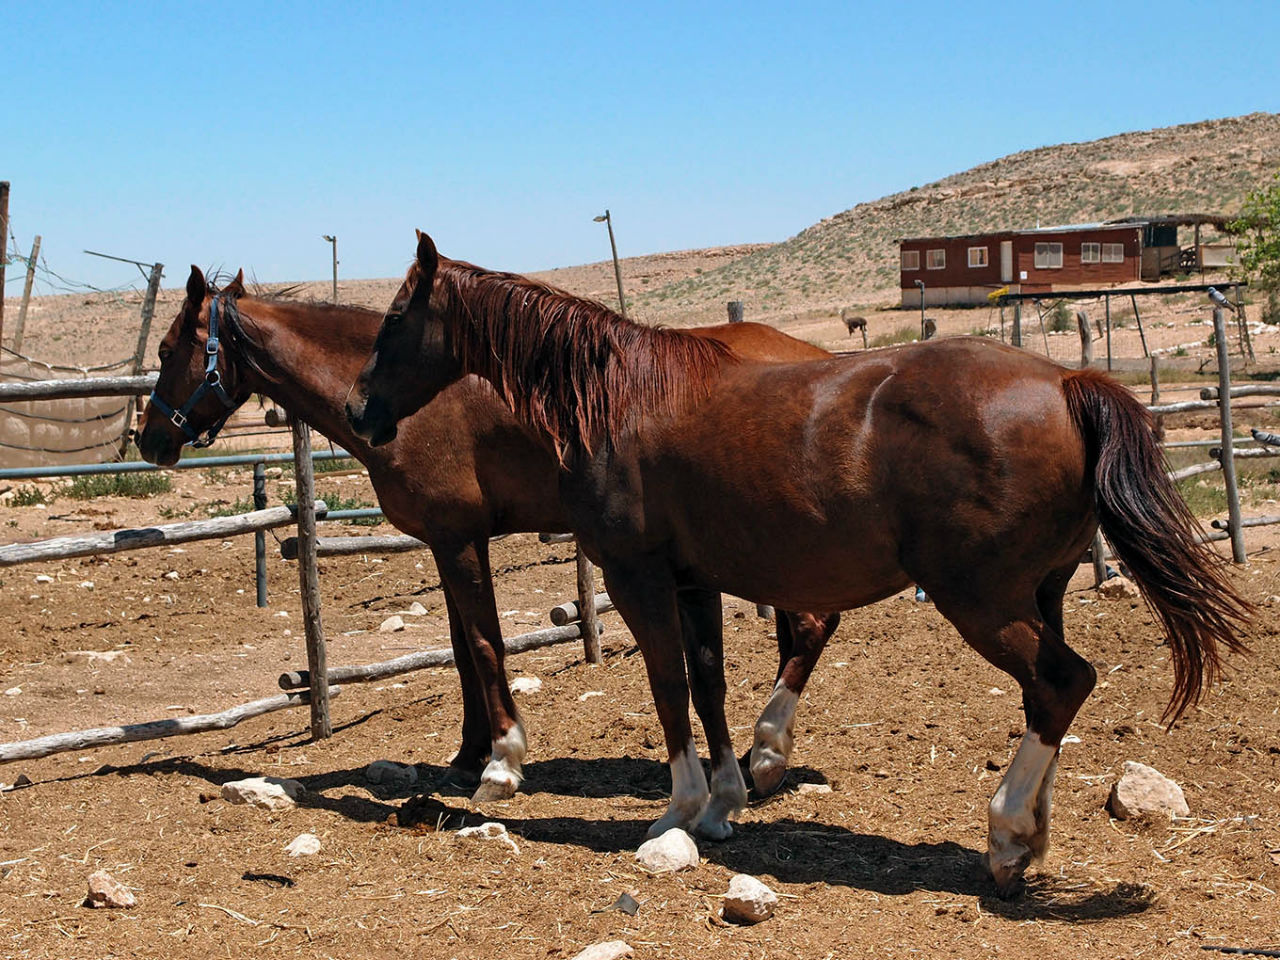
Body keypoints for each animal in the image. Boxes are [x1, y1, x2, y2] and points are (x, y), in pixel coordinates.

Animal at [135, 264, 834, 803]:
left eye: (168, 352)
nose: (150, 440)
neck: (413, 394)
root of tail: (816, 357)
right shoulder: (445, 542)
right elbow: (461, 649)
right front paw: (467, 755)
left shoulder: (458, 539)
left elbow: (483, 643)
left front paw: (501, 762)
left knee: (810, 625)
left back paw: (765, 755)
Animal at [348, 232, 1249, 896]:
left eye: (392, 319)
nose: (359, 409)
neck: (617, 399)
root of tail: (1066, 382)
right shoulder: (692, 580)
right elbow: (706, 681)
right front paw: (721, 803)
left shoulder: (637, 576)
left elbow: (667, 684)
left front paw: (675, 810)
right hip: (1040, 593)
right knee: (1046, 697)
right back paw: (1030, 838)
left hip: (984, 600)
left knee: (1063, 683)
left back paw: (1002, 836)